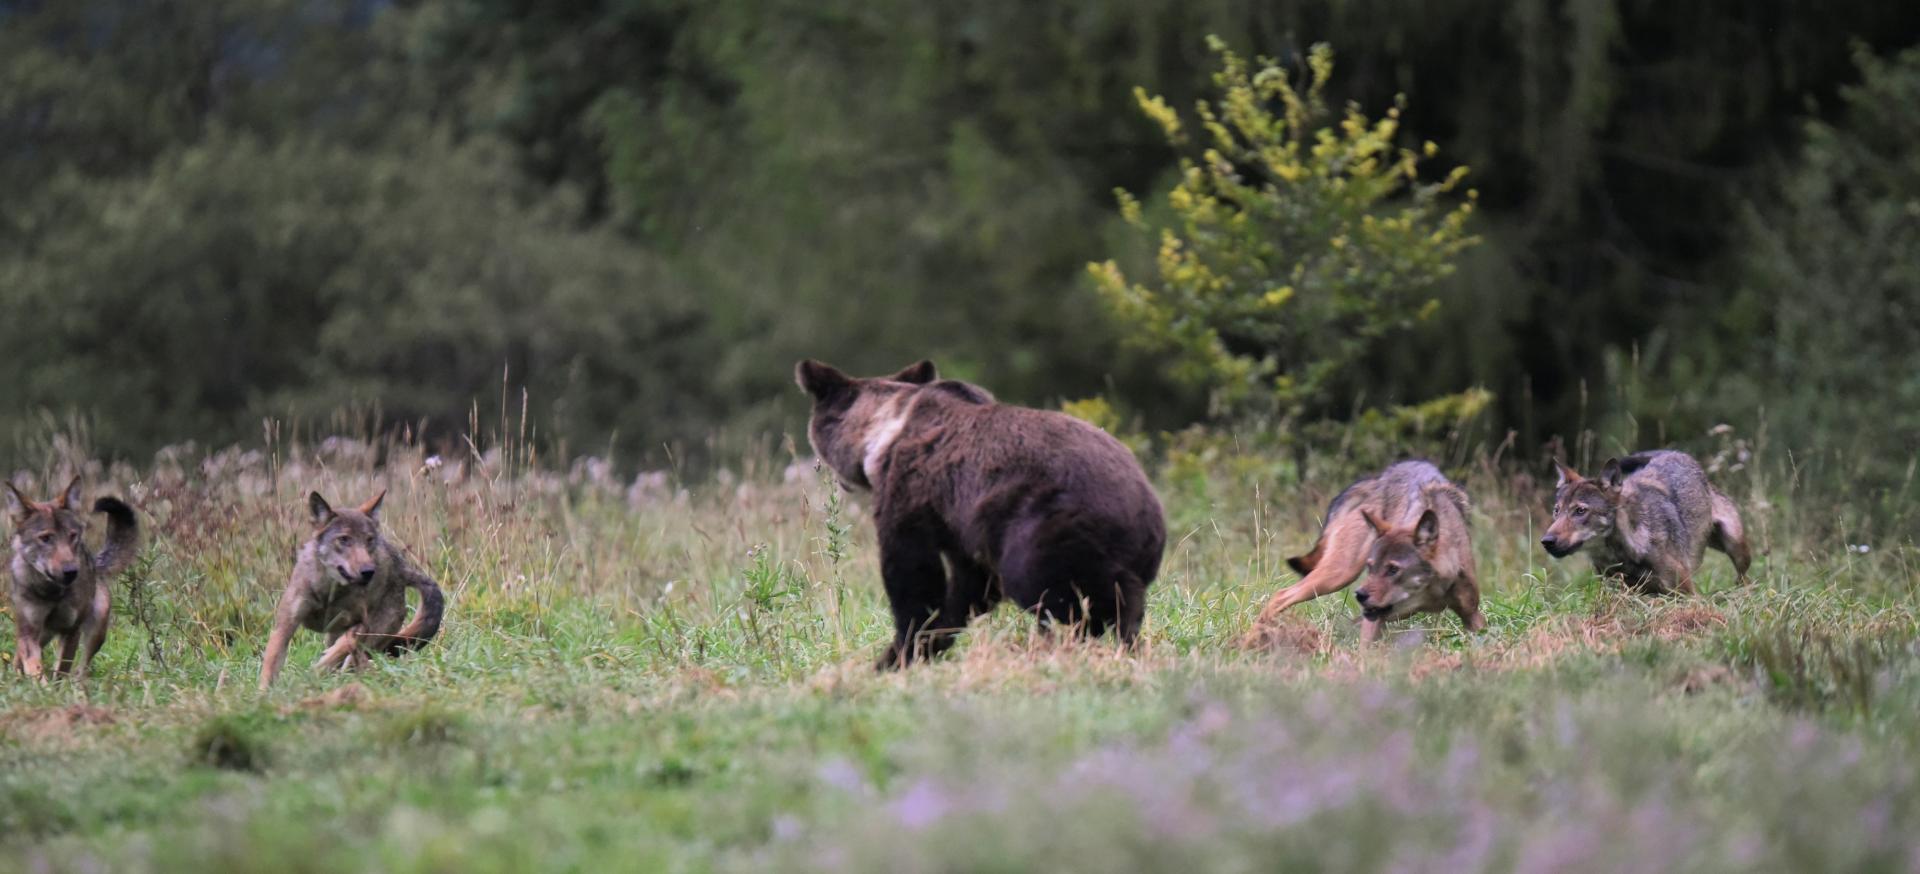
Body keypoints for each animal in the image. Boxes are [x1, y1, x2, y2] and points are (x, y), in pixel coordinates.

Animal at [7, 478, 139, 683]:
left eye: (72, 536)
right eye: (45, 538)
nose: (71, 571)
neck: (51, 593)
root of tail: (94, 562)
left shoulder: (71, 630)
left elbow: (61, 670)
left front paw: (55, 687)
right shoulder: (29, 632)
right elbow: (34, 667)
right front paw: (41, 687)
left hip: (97, 630)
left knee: (82, 667)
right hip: (42, 635)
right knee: (18, 659)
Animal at [259, 491, 445, 691]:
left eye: (369, 540)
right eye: (344, 539)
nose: (369, 571)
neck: (329, 593)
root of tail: (402, 566)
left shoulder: (361, 623)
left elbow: (343, 645)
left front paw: (318, 668)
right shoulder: (285, 625)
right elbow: (270, 663)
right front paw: (263, 694)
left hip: (372, 636)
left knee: (356, 659)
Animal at [791, 357, 1159, 672]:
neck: (882, 437)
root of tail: (1144, 515)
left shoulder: (913, 492)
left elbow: (911, 574)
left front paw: (897, 653)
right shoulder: (963, 524)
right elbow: (969, 584)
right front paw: (932, 639)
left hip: (1048, 524)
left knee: (1057, 590)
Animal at [1244, 461, 1482, 645]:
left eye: (1393, 569)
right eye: (1371, 566)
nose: (1360, 595)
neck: (1431, 592)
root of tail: (1376, 480)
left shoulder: (1473, 616)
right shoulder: (1373, 619)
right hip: (1337, 575)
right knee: (1280, 596)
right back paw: (1248, 643)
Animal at [1536, 451, 1751, 595]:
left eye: (1580, 511)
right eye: (1557, 511)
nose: (1546, 541)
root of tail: (1675, 452)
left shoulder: (1687, 594)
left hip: (1736, 547)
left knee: (1744, 578)